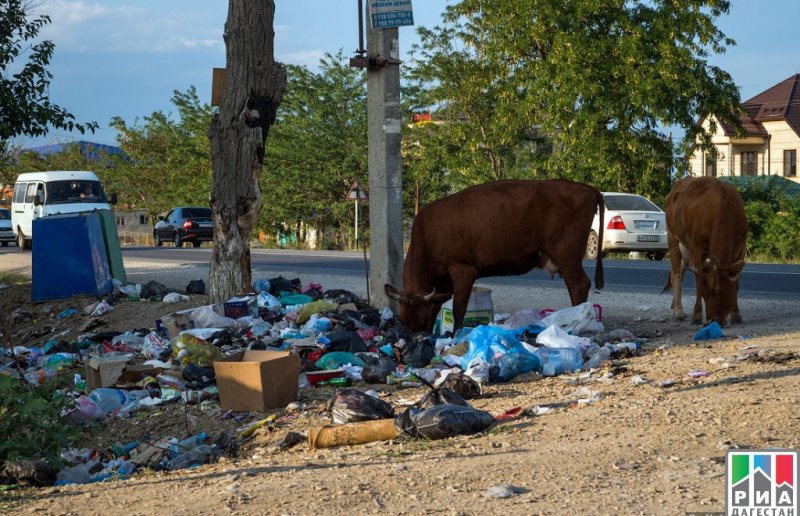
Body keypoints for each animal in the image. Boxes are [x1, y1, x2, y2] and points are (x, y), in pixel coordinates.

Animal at [384, 179, 604, 332]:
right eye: (403, 319)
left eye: (418, 319)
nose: (415, 336)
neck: (427, 235)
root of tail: (583, 187)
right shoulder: (443, 279)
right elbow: (437, 306)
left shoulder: (463, 268)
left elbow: (459, 308)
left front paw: (455, 335)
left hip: (567, 253)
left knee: (579, 285)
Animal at [660, 175, 748, 324]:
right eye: (704, 293)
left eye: (717, 291)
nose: (713, 320)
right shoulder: (697, 246)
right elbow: (698, 279)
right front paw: (696, 314)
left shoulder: (741, 247)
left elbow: (736, 281)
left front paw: (736, 314)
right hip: (673, 237)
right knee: (677, 274)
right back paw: (678, 311)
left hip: (686, 247)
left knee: (679, 271)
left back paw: (674, 305)